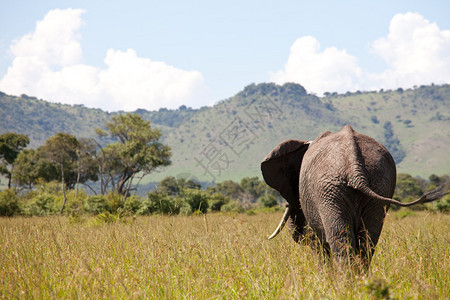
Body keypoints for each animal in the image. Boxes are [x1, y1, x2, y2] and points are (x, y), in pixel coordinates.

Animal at [262, 125, 448, 266]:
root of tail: (354, 165)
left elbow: (318, 244)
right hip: (378, 183)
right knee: (368, 240)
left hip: (329, 191)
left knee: (340, 239)